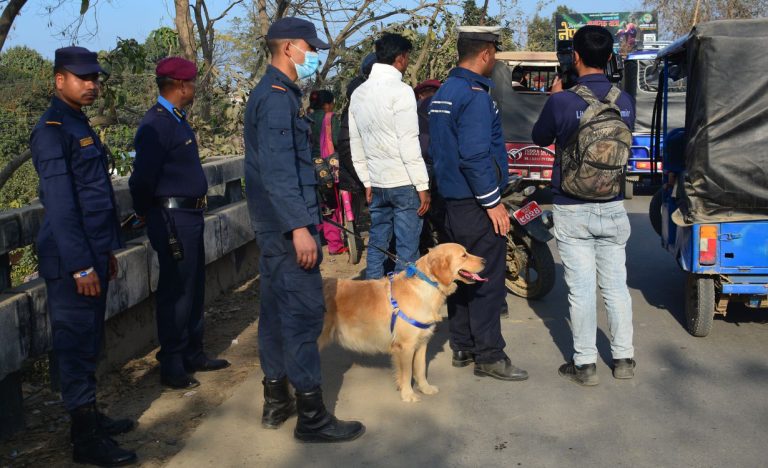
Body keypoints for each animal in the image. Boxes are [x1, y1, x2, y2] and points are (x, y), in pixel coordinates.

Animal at [320, 243, 484, 400]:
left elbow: (421, 368)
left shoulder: (422, 342)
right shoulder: (406, 346)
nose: (485, 261)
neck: (426, 287)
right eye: (464, 255)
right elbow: (407, 373)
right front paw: (408, 394)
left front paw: (425, 388)